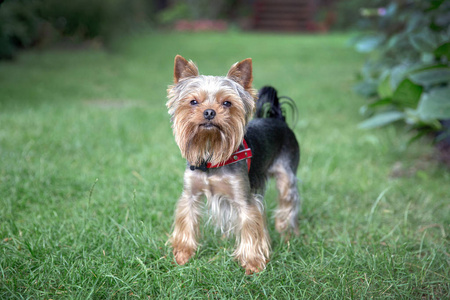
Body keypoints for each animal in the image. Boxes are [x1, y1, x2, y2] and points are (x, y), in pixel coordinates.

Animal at [165, 54, 298, 274]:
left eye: (227, 103)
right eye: (193, 101)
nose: (209, 112)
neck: (210, 156)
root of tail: (277, 118)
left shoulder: (244, 198)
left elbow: (251, 229)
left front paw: (253, 264)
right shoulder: (190, 194)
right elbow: (187, 220)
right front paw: (183, 255)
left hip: (287, 174)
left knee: (288, 202)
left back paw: (286, 231)